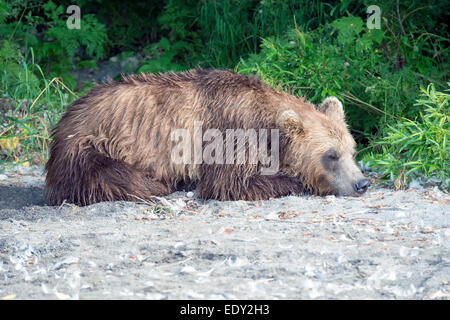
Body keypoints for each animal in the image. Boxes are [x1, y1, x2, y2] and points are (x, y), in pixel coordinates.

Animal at [44, 69, 370, 206]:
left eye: (352, 150)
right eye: (331, 155)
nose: (362, 183)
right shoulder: (229, 132)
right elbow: (228, 183)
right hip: (88, 144)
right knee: (112, 176)